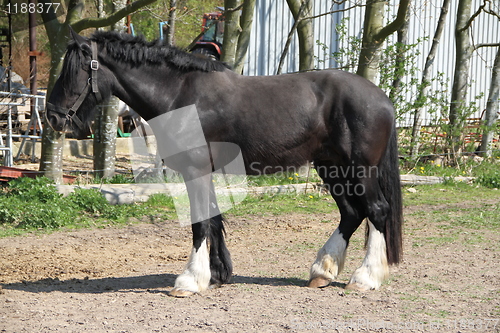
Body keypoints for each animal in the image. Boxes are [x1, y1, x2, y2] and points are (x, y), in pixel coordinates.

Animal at [47, 30, 402, 296]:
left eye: (76, 70)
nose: (52, 117)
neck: (180, 95)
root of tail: (381, 98)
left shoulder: (195, 171)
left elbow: (200, 223)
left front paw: (190, 280)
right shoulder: (205, 172)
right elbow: (213, 219)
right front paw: (217, 274)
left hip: (360, 169)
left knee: (377, 210)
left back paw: (365, 278)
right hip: (331, 167)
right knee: (352, 212)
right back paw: (322, 271)